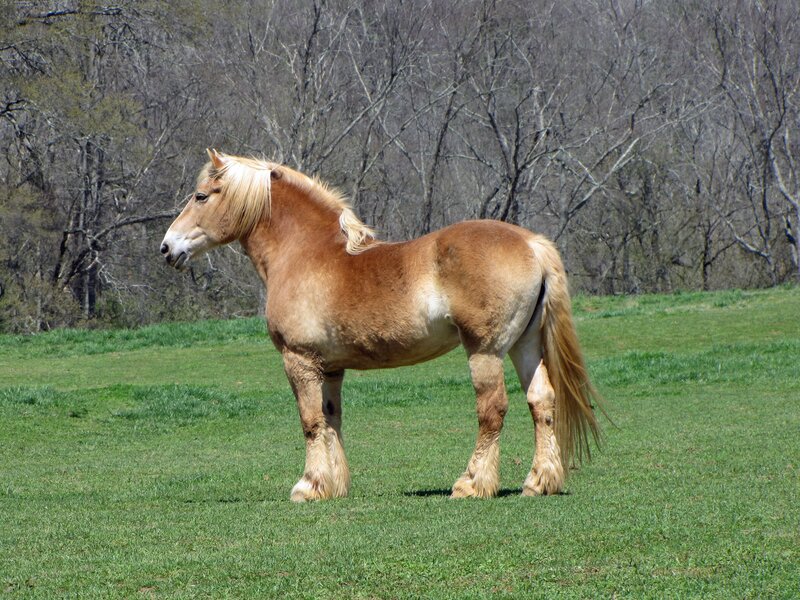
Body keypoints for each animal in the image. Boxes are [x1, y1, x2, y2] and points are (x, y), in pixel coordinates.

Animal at [160, 149, 602, 501]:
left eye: (201, 196)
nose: (167, 248)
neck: (306, 253)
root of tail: (532, 244)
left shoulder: (298, 360)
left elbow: (310, 422)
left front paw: (308, 486)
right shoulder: (330, 368)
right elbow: (331, 419)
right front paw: (333, 486)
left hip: (485, 351)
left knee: (492, 411)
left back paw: (471, 484)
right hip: (524, 346)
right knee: (541, 402)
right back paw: (538, 482)